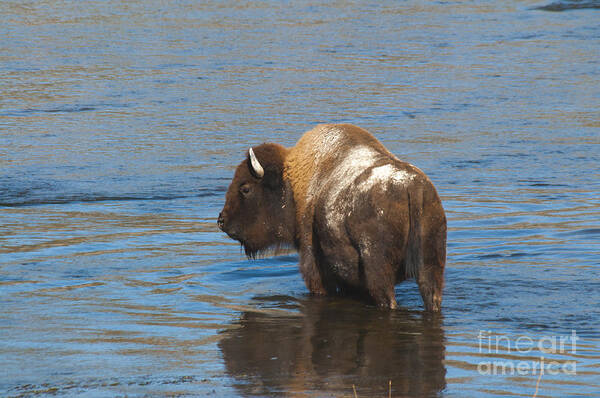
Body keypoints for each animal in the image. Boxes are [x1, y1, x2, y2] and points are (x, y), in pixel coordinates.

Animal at [217, 123, 446, 310]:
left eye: (245, 188)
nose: (221, 221)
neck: (292, 183)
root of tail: (412, 187)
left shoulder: (314, 267)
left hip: (378, 271)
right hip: (431, 267)